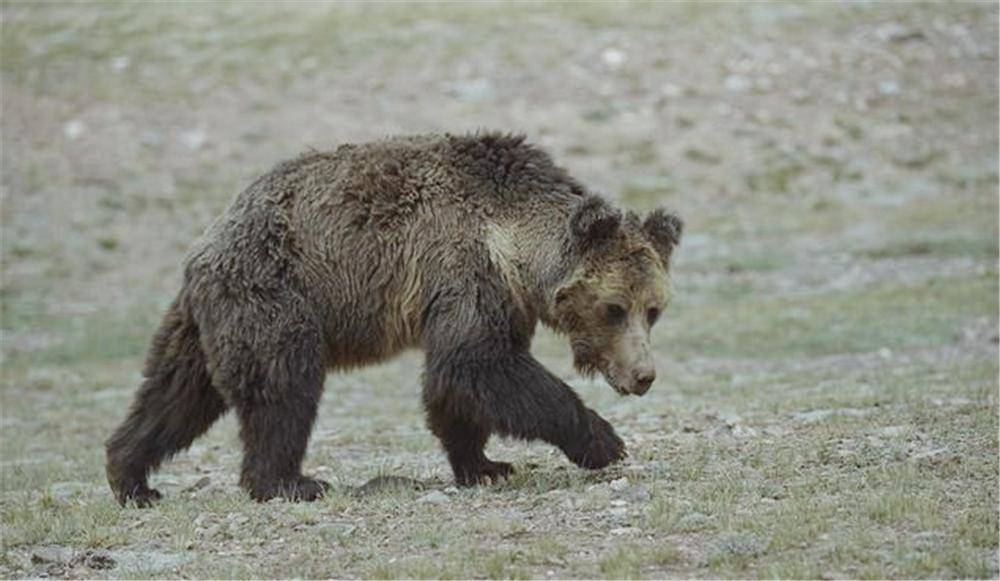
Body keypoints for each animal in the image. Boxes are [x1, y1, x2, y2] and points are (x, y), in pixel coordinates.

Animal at [103, 131, 680, 502]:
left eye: (654, 310)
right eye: (614, 308)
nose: (644, 375)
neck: (513, 246)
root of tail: (207, 244)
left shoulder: (500, 299)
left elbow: (456, 385)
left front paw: (485, 465)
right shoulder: (464, 271)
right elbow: (479, 363)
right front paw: (603, 440)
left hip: (204, 320)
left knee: (175, 392)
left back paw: (131, 476)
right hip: (274, 295)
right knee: (282, 386)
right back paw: (289, 482)